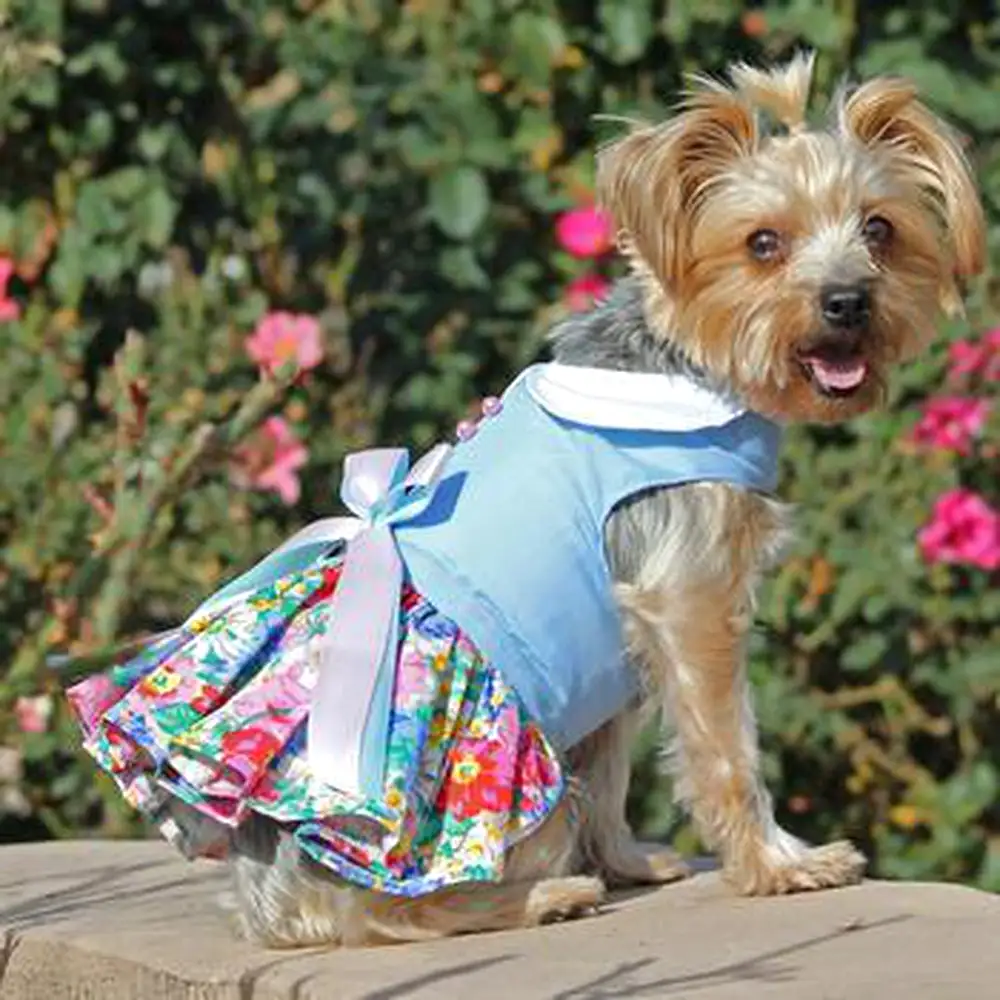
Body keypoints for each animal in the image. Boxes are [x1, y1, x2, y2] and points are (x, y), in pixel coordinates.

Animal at [203, 52, 984, 944]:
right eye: (763, 244)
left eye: (880, 230)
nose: (848, 301)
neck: (692, 365)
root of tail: (269, 904)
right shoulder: (688, 599)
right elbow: (727, 749)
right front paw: (780, 865)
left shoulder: (604, 644)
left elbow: (609, 763)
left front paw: (629, 860)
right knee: (387, 908)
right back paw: (543, 895)